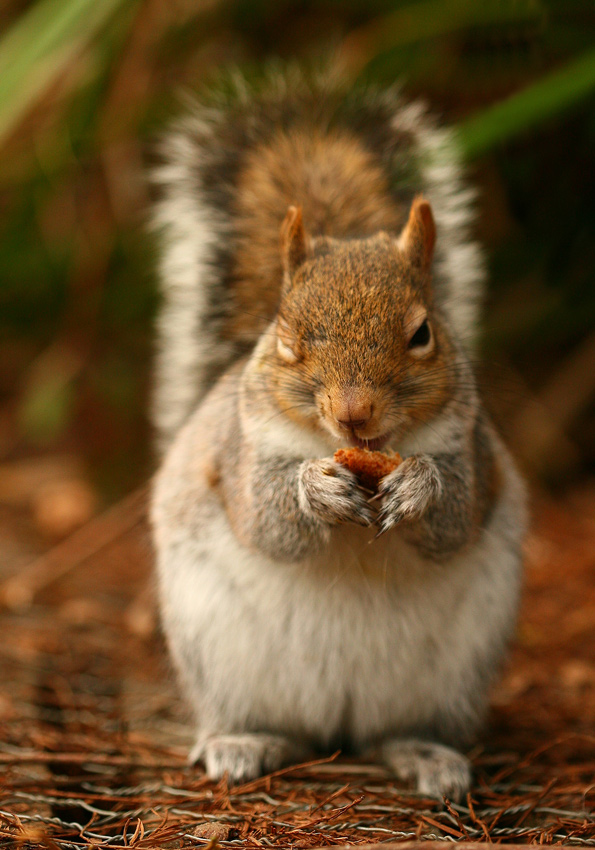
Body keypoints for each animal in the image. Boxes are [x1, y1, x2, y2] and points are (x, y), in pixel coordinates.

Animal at [149, 69, 528, 800]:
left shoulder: (468, 444)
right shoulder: (239, 452)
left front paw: (419, 486)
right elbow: (267, 521)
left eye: (423, 333)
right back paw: (245, 742)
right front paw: (313, 491)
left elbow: (454, 520)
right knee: (268, 724)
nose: (354, 413)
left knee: (396, 731)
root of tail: (339, 727)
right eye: (286, 336)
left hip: (453, 675)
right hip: (221, 656)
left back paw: (425, 755)